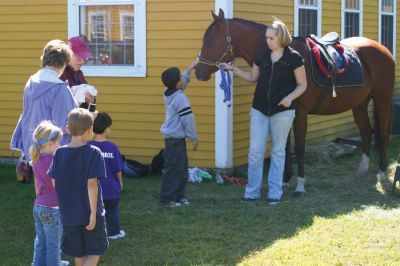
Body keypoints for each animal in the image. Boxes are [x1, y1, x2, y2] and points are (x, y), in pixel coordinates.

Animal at [195, 9, 396, 194]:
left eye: (209, 41)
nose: (198, 72)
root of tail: (384, 50)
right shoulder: (284, 111)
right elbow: (285, 147)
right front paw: (284, 180)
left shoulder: (300, 112)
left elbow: (298, 147)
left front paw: (300, 184)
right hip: (360, 104)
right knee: (366, 131)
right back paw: (362, 170)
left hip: (382, 100)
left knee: (384, 133)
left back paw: (381, 171)